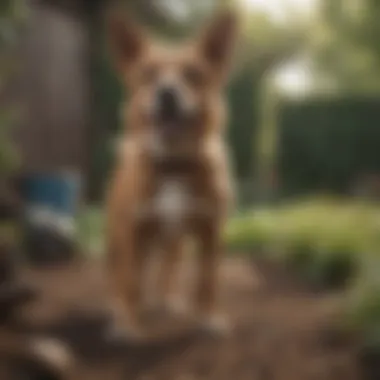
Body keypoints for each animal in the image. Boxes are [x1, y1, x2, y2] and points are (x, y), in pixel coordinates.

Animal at [105, 7, 239, 340]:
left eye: (193, 73)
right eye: (148, 74)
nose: (167, 93)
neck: (174, 165)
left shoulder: (211, 232)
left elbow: (207, 281)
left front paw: (208, 318)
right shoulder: (133, 231)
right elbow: (130, 281)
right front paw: (128, 325)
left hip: (172, 241)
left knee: (167, 268)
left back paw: (166, 301)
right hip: (117, 238)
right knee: (120, 275)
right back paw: (118, 307)